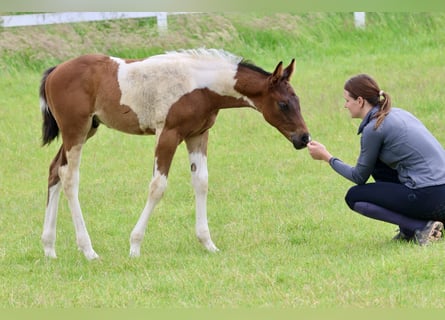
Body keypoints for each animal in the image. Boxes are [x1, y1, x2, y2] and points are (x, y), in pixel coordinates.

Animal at [40, 50, 310, 260]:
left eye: (297, 100)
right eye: (283, 104)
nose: (304, 138)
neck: (200, 85)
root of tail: (54, 72)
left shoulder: (198, 135)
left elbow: (201, 182)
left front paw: (208, 243)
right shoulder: (168, 134)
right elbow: (157, 186)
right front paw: (135, 246)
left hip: (88, 130)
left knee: (54, 170)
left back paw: (49, 248)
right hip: (76, 131)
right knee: (69, 177)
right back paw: (88, 250)